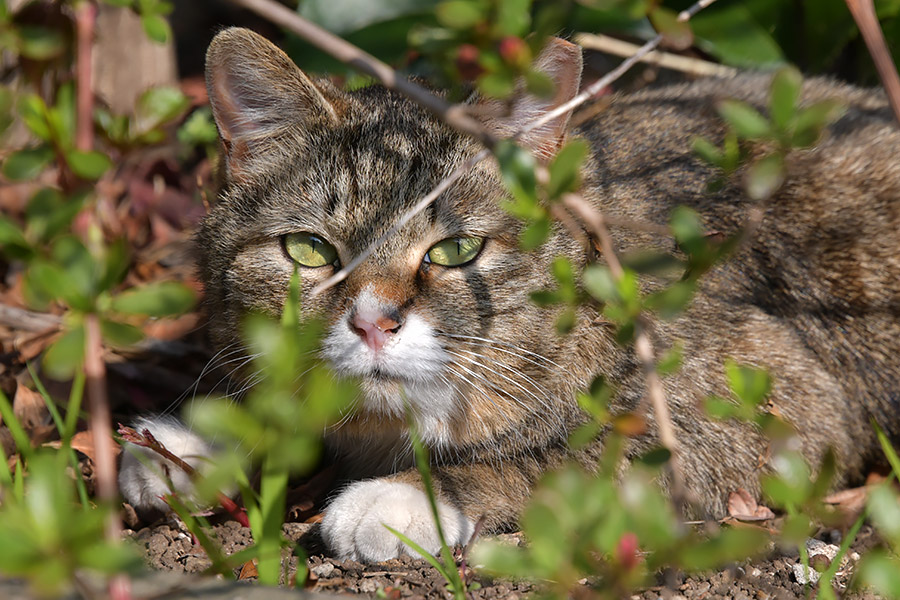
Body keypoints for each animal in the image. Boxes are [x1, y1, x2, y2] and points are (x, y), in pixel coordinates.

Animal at [121, 27, 900, 564]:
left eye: (456, 251)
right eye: (310, 250)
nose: (373, 322)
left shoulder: (771, 411)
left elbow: (565, 462)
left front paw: (405, 495)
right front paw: (192, 442)